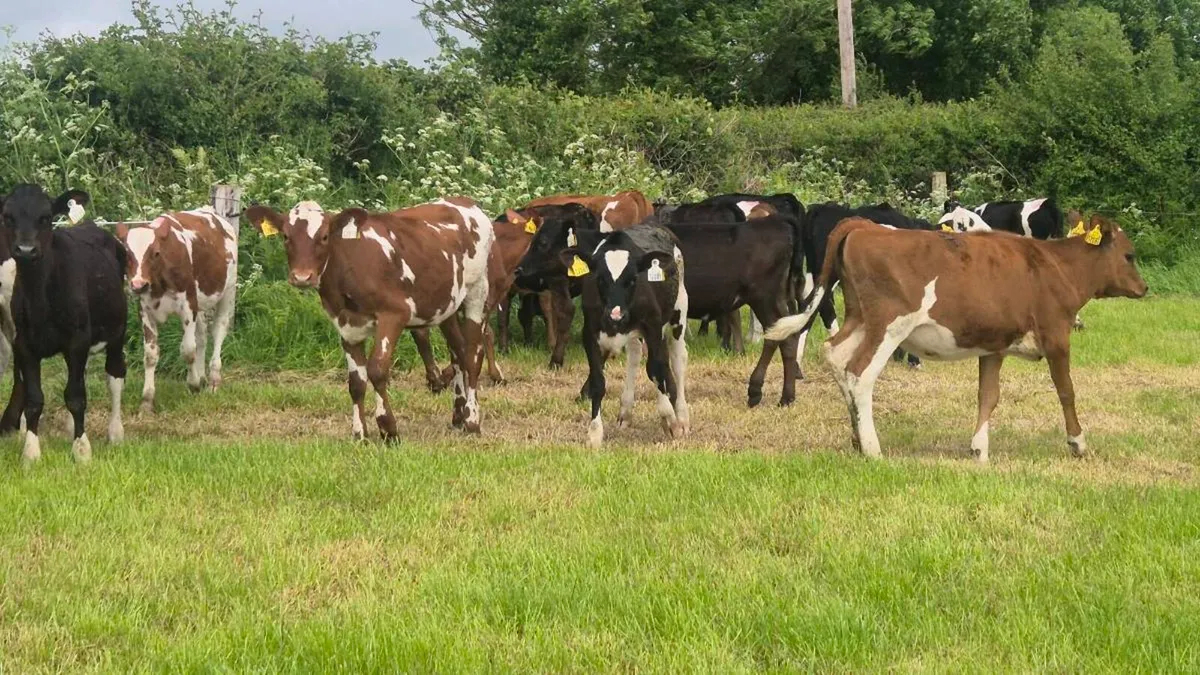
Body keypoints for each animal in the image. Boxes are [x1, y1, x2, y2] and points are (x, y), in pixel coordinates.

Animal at [0, 185, 128, 463]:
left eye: (46, 217)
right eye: (7, 217)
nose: (25, 249)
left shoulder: (76, 340)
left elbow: (76, 397)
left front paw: (81, 451)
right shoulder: (24, 344)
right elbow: (34, 399)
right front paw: (31, 453)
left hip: (117, 332)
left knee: (114, 377)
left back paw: (115, 432)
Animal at [114, 208, 238, 413]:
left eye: (156, 253)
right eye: (125, 254)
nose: (138, 284)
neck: (159, 282)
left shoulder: (188, 306)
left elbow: (188, 350)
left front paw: (193, 384)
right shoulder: (145, 310)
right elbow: (150, 355)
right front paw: (147, 401)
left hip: (228, 291)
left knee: (218, 330)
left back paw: (213, 381)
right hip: (200, 304)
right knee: (202, 336)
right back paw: (202, 376)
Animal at [243, 198, 494, 439]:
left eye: (324, 236)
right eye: (286, 236)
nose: (302, 277)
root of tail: (465, 202)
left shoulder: (394, 314)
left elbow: (377, 369)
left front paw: (388, 429)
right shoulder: (346, 325)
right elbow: (356, 381)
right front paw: (360, 433)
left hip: (477, 291)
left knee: (472, 355)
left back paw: (472, 420)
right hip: (446, 305)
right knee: (458, 351)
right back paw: (458, 415)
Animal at [565, 224, 689, 448]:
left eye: (632, 280)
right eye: (600, 279)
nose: (616, 314)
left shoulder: (653, 326)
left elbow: (656, 369)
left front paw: (669, 419)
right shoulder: (590, 334)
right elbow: (598, 382)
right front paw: (594, 433)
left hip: (679, 311)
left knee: (677, 361)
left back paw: (682, 417)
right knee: (634, 356)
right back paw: (626, 411)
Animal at [764, 215, 1147, 461]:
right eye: (1129, 255)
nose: (1144, 288)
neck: (1056, 266)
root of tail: (865, 225)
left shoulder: (994, 346)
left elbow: (988, 395)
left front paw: (979, 448)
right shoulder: (1056, 337)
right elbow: (1066, 391)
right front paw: (1077, 442)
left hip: (860, 319)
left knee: (835, 356)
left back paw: (857, 439)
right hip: (889, 325)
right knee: (859, 372)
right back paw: (872, 449)